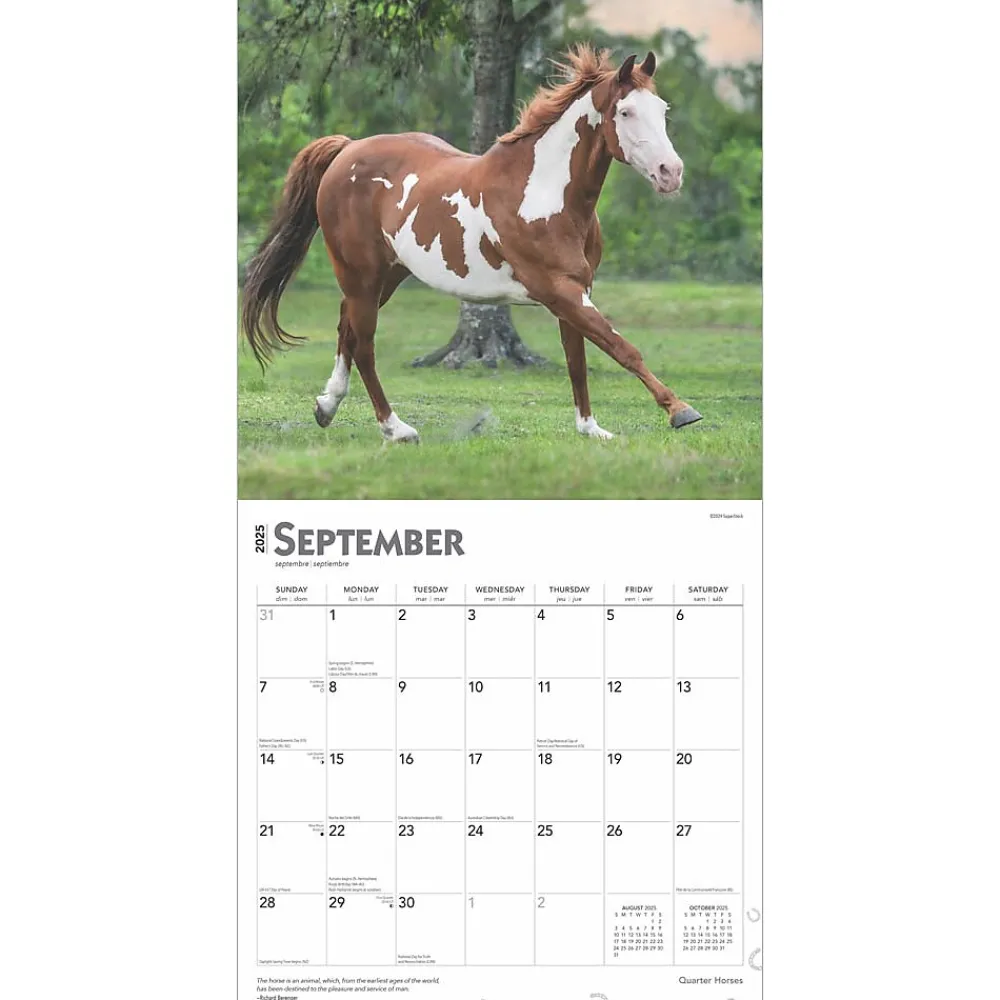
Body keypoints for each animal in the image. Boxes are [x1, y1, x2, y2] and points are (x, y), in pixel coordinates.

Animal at [241, 44, 702, 443]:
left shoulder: (576, 290)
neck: (546, 195)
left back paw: (326, 406)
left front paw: (591, 429)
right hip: (361, 275)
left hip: (386, 276)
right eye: (625, 111)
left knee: (346, 329)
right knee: (365, 346)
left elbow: (578, 360)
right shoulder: (559, 291)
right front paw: (680, 410)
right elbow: (622, 348)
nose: (671, 172)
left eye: (662, 110)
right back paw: (396, 429)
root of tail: (348, 149)